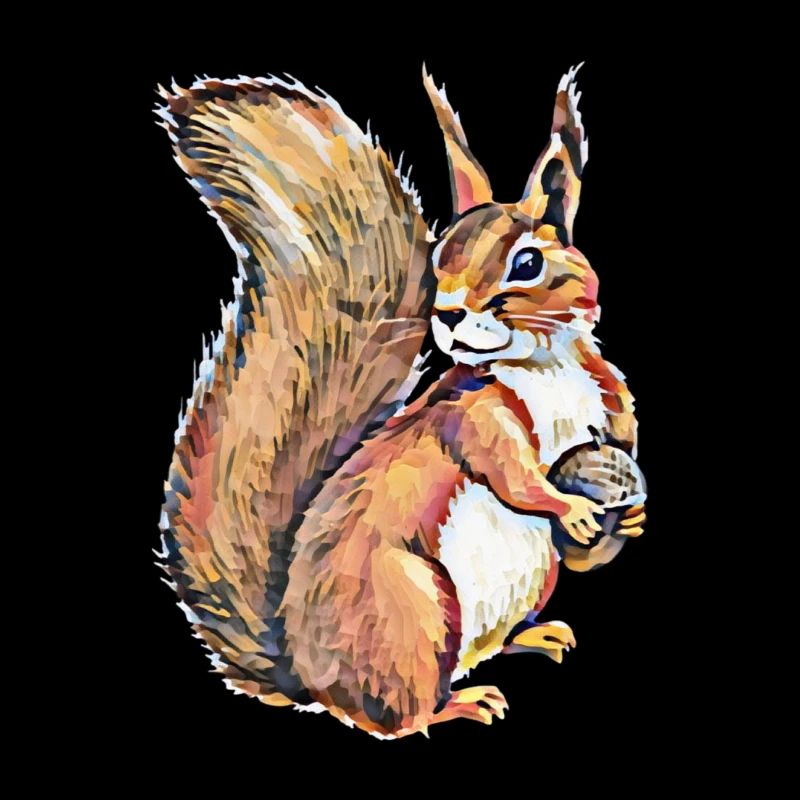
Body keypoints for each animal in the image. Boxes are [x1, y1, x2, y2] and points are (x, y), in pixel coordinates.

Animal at [156, 64, 646, 739]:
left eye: (528, 261)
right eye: (440, 255)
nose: (447, 312)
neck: (544, 364)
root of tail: (303, 674)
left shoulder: (612, 411)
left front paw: (626, 520)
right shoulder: (473, 419)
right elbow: (512, 473)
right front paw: (567, 505)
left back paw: (534, 636)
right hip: (413, 610)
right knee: (396, 716)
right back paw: (461, 704)